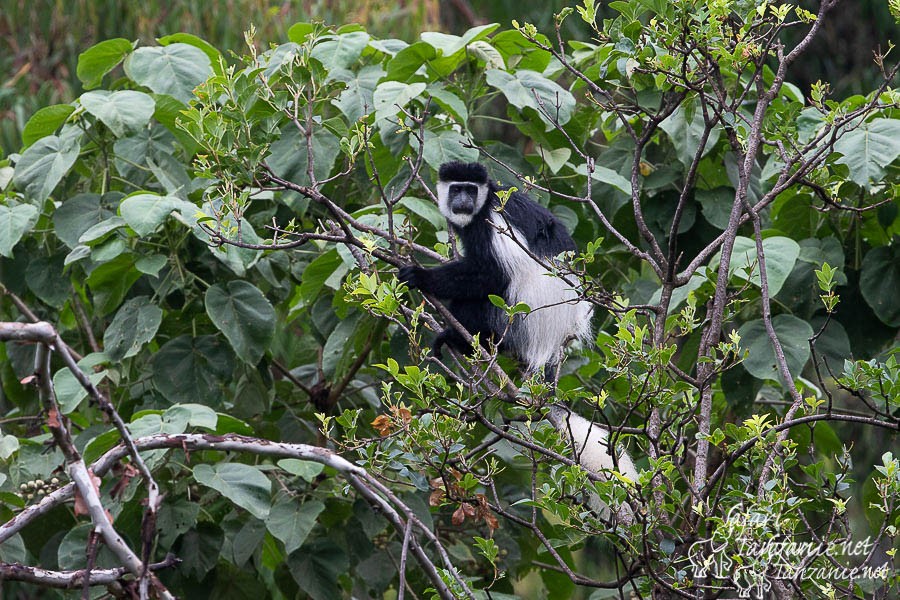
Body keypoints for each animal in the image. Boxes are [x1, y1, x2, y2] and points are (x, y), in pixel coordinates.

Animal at [398, 159, 596, 376]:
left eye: (471, 190)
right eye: (456, 189)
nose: (463, 201)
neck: (484, 204)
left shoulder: (492, 223)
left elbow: (493, 274)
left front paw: (420, 275)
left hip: (513, 316)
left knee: (480, 299)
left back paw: (459, 339)